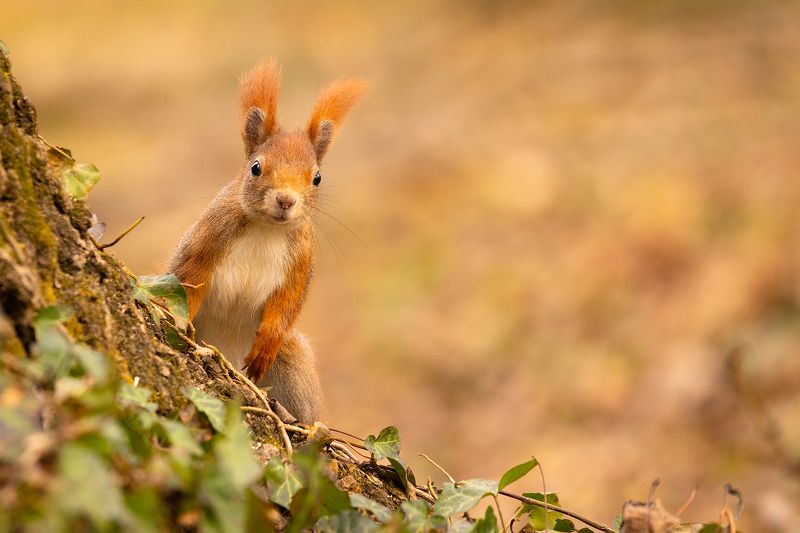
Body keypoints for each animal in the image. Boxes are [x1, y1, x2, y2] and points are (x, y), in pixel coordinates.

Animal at [167, 59, 366, 423]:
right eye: (256, 168)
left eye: (317, 178)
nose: (286, 200)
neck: (267, 228)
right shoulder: (207, 240)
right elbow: (187, 282)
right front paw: (179, 319)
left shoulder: (301, 262)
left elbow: (288, 304)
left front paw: (266, 343)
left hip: (292, 362)